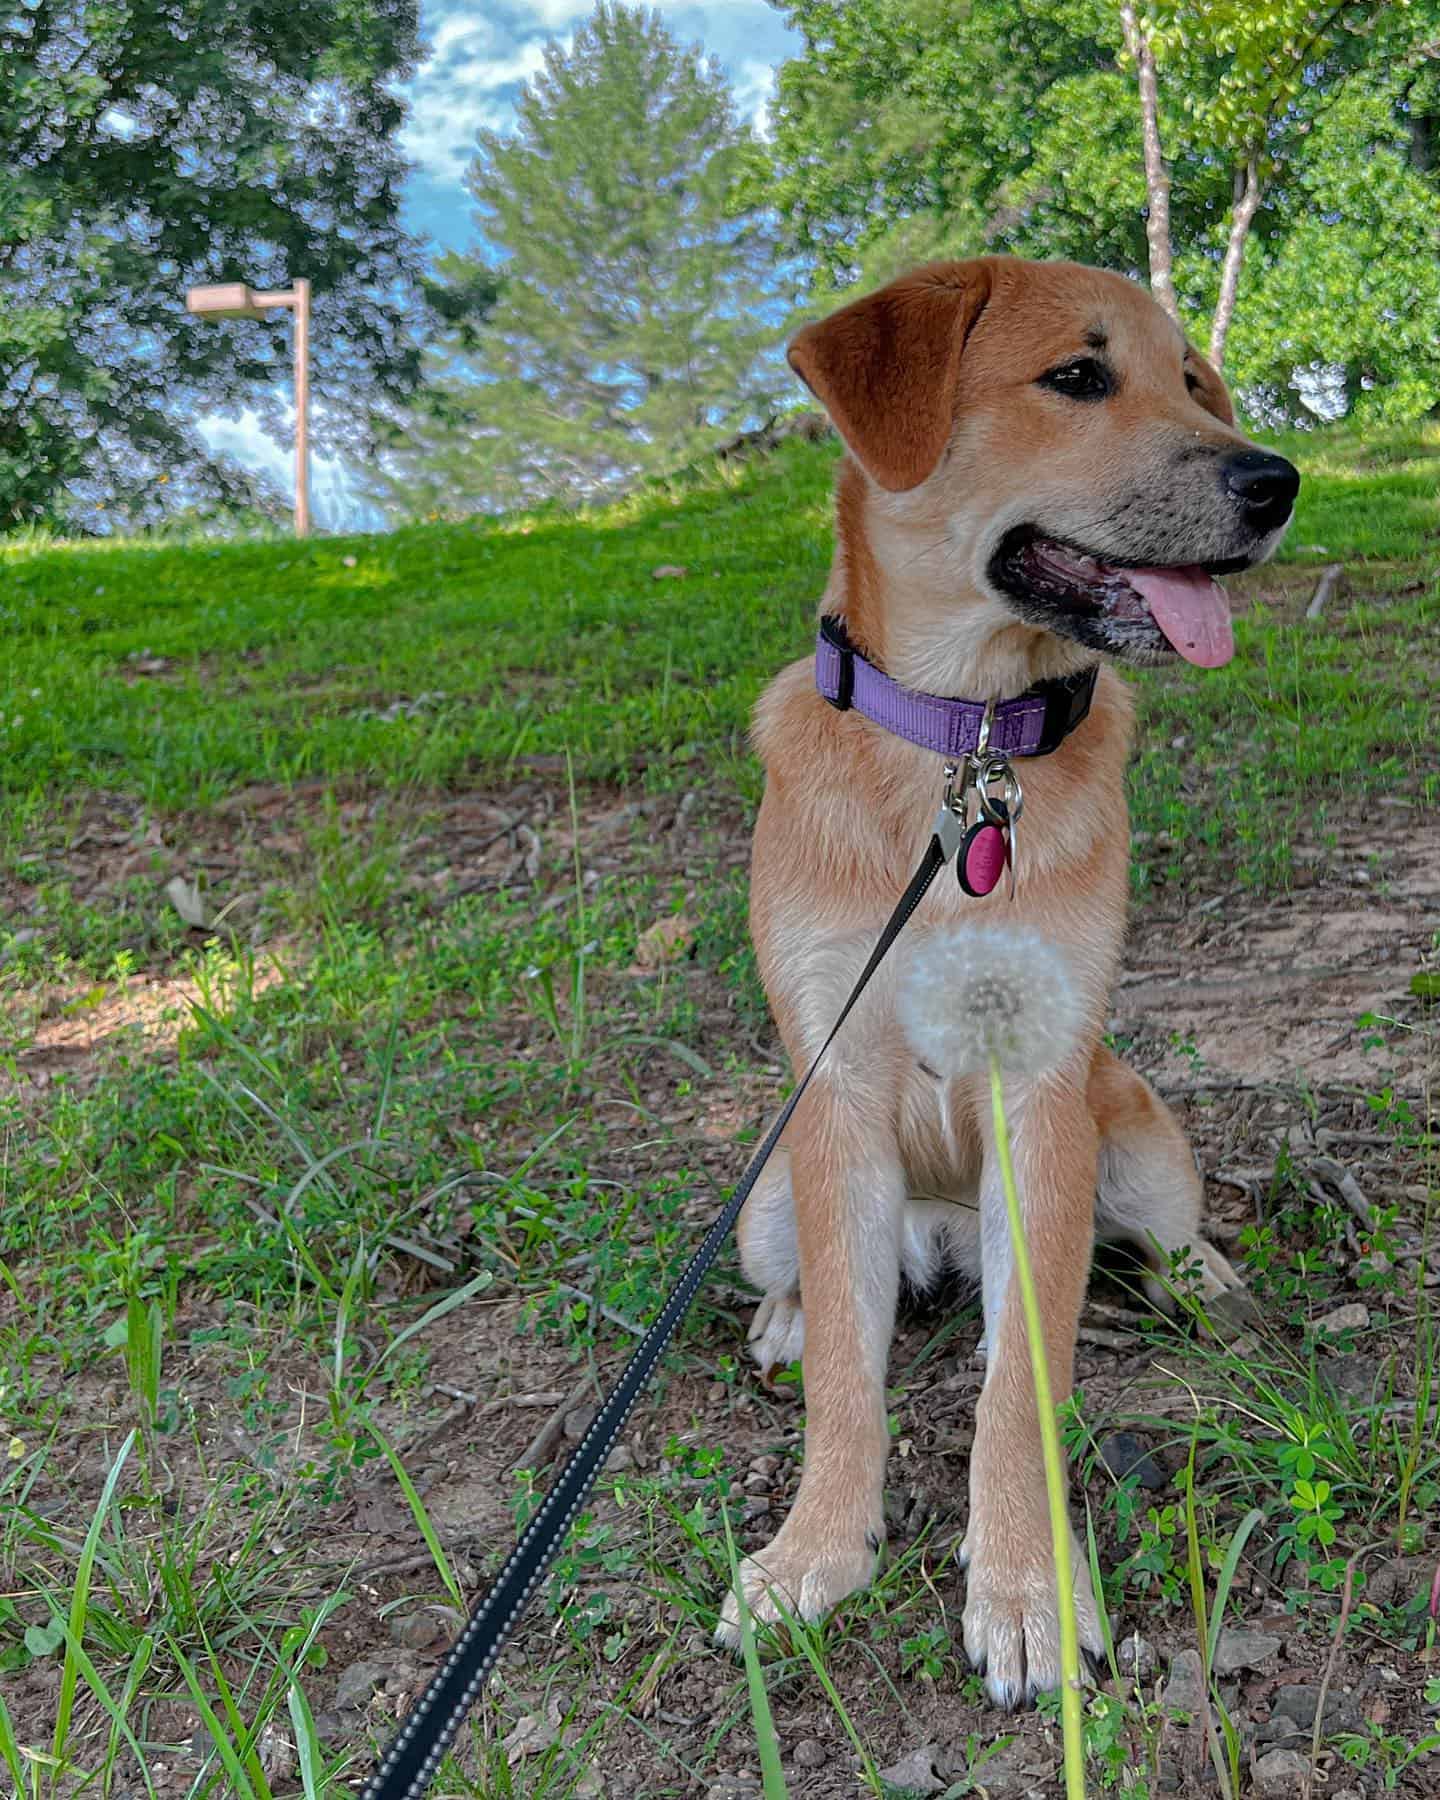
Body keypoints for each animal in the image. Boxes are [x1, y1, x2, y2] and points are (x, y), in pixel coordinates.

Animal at [712, 253, 1296, 1699]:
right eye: (1077, 376)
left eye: (1192, 382)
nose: (1278, 482)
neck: (964, 744)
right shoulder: (837, 1096)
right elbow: (850, 1384)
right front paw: (817, 1551)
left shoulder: (1039, 1097)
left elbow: (1019, 1385)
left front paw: (1028, 1583)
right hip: (767, 1197)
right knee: (815, 1290)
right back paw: (788, 1319)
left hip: (1128, 1129)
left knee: (1144, 1237)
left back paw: (1204, 1281)